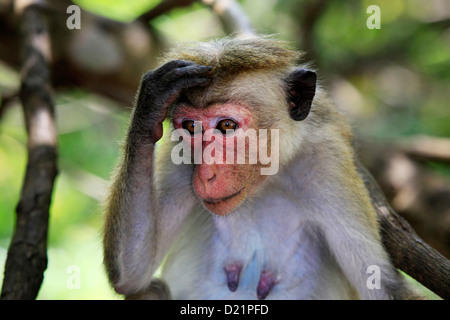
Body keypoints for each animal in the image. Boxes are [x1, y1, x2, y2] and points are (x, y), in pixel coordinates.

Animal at [103, 35, 420, 300]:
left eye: (226, 126)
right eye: (190, 127)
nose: (205, 175)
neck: (264, 181)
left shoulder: (327, 161)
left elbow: (386, 288)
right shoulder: (177, 157)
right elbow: (132, 274)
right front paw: (150, 104)